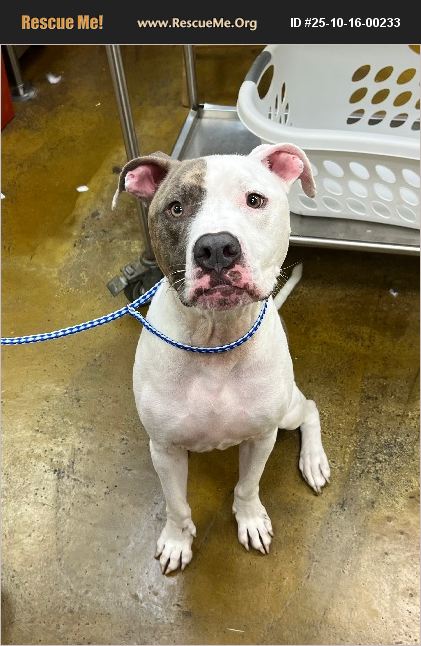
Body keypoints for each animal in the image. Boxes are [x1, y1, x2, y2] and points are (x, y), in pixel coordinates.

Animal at [113, 143, 330, 574]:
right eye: (176, 208)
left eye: (254, 200)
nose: (216, 248)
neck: (215, 342)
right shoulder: (164, 449)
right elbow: (177, 505)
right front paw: (177, 540)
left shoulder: (262, 436)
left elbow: (247, 486)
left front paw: (250, 519)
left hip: (286, 412)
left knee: (311, 408)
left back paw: (313, 461)